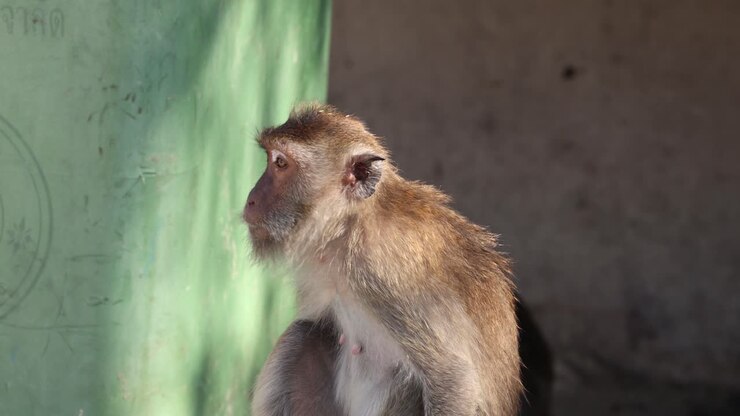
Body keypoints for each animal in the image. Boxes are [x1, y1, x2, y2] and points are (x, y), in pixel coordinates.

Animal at [244, 104, 521, 416]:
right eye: (270, 158)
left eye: (280, 163)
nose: (251, 199)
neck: (349, 225)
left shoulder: (391, 272)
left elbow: (452, 376)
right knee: (303, 333)